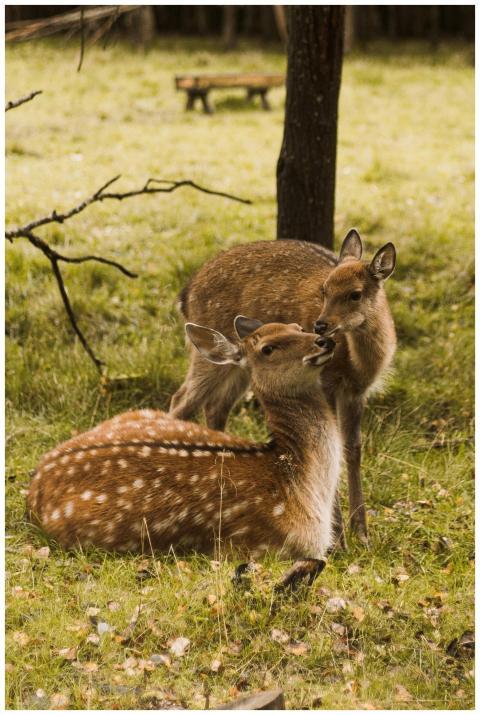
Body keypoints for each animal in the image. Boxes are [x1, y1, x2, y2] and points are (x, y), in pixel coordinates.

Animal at [169, 230, 397, 543]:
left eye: (355, 293)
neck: (357, 363)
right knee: (181, 401)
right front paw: (337, 538)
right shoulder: (326, 383)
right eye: (324, 289)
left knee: (215, 406)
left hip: (240, 365)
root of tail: (185, 293)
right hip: (208, 350)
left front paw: (362, 534)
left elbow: (353, 449)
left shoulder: (357, 392)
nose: (320, 325)